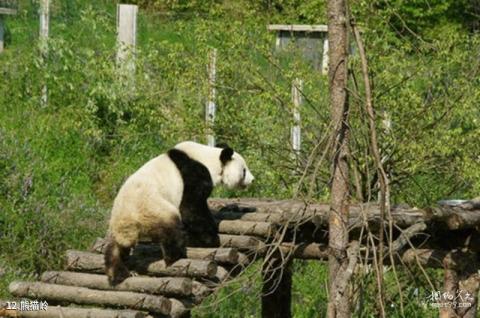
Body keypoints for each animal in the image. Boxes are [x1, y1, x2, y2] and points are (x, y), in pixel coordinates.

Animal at [104, 140, 255, 284]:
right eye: (244, 170)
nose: (252, 180)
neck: (208, 158)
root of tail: (129, 222)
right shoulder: (194, 175)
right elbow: (192, 208)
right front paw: (211, 238)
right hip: (155, 209)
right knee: (171, 229)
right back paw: (176, 255)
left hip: (117, 224)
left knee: (115, 249)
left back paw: (117, 274)